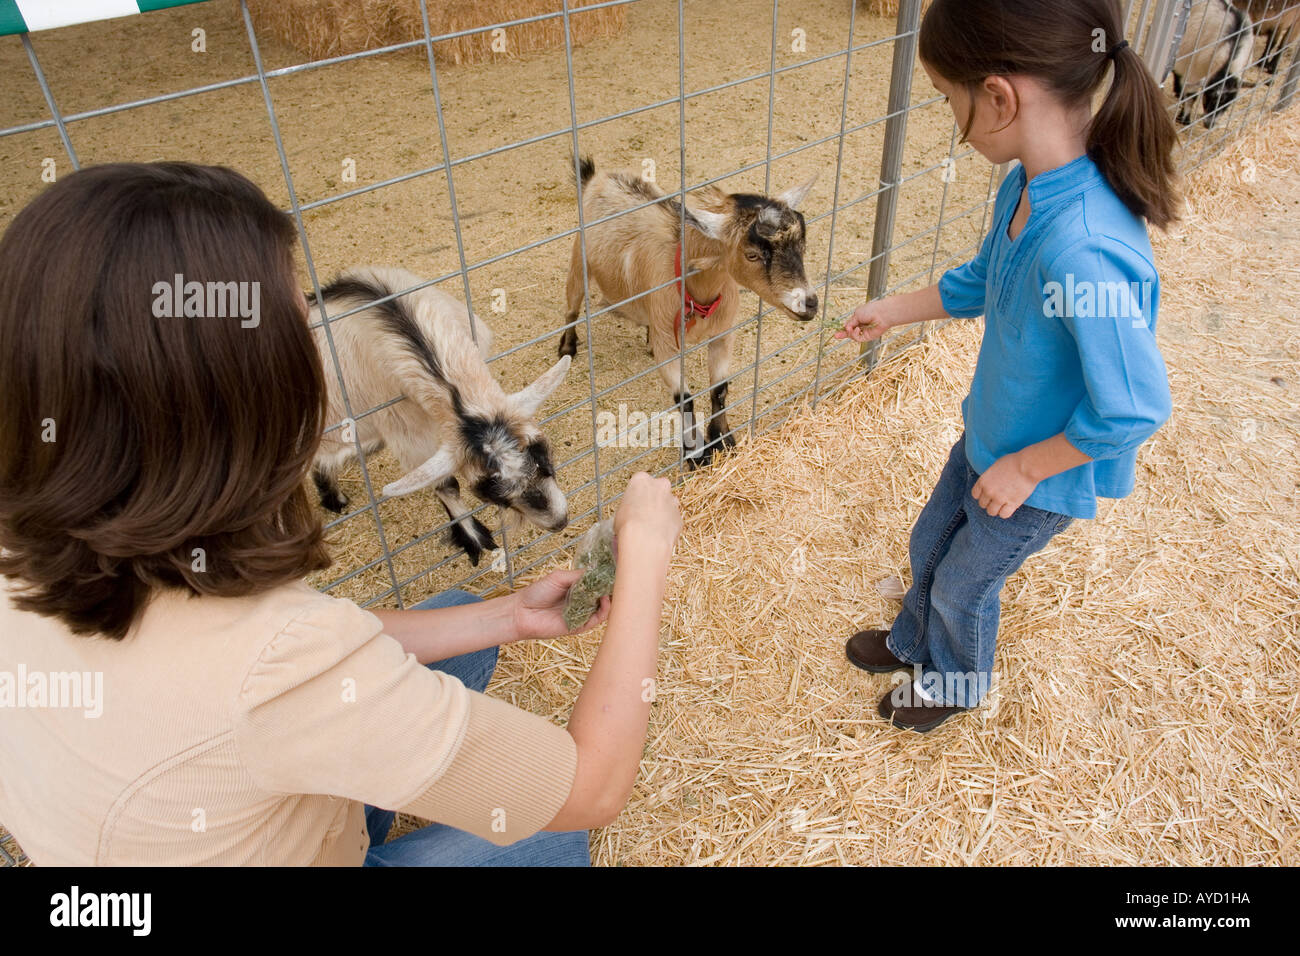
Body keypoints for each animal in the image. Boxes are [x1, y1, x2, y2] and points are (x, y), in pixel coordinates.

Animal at [312, 265, 572, 564]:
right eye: (492, 494)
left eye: (546, 459)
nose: (559, 521)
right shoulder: (404, 429)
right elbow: (445, 484)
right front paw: (473, 537)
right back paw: (334, 498)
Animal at [553, 155, 816, 468]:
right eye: (751, 255)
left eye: (802, 244)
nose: (809, 303)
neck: (697, 292)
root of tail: (597, 177)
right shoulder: (668, 345)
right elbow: (684, 399)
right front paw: (695, 453)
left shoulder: (723, 334)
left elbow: (719, 389)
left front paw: (724, 441)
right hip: (578, 259)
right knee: (571, 306)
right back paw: (567, 347)